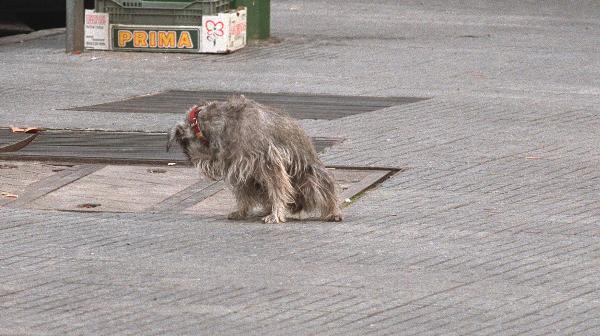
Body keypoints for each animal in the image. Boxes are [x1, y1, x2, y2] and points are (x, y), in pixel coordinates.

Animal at [166, 94, 342, 223]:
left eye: (186, 149)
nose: (191, 161)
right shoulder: (239, 167)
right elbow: (242, 192)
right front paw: (242, 211)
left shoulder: (268, 162)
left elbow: (278, 189)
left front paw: (276, 214)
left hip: (310, 177)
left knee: (324, 189)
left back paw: (332, 211)